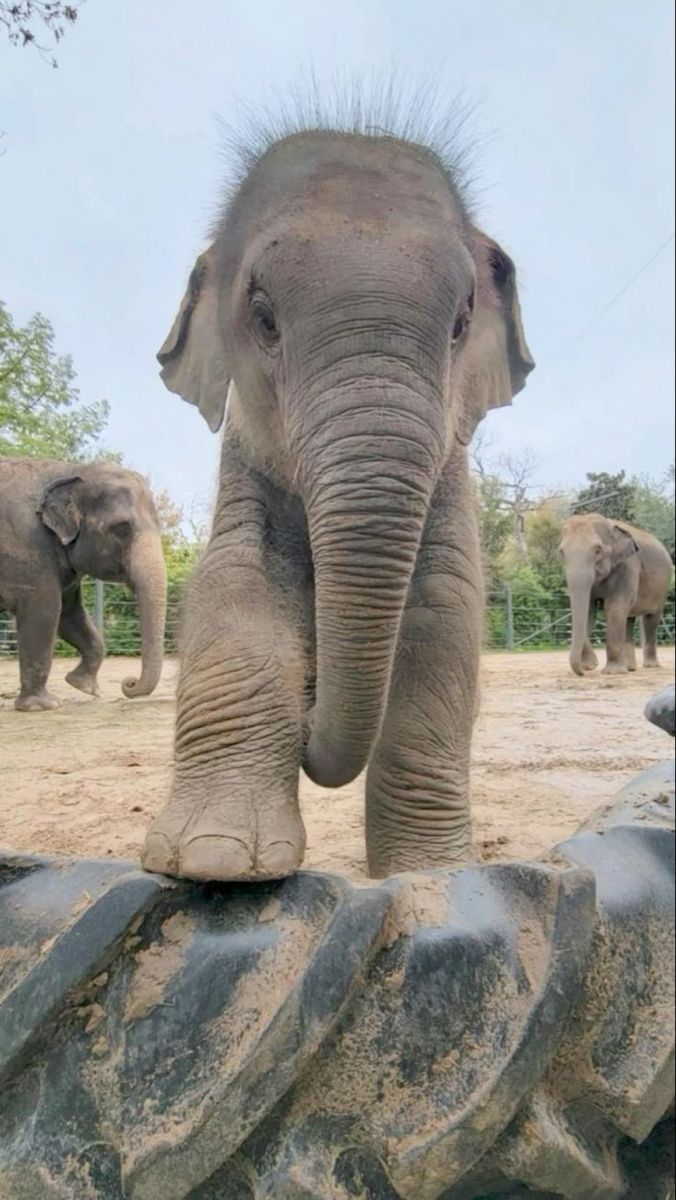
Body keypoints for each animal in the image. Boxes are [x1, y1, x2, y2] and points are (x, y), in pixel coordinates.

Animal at [0, 456, 168, 700]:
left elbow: (70, 614)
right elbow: (45, 609)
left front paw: (84, 687)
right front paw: (42, 704)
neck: (71, 470)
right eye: (122, 529)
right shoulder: (27, 545)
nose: (129, 683)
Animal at [142, 103, 535, 888]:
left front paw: (434, 876)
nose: (306, 714)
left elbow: (442, 607)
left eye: (460, 323)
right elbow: (239, 583)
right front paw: (214, 862)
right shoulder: (245, 457)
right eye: (264, 318)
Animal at [561, 511, 672, 676]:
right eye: (562, 552)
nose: (583, 672)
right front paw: (591, 665)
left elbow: (614, 607)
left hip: (662, 587)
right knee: (629, 619)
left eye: (597, 551)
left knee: (651, 619)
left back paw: (650, 666)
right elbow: (589, 610)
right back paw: (630, 668)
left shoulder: (627, 566)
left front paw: (611, 672)